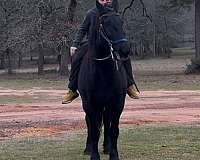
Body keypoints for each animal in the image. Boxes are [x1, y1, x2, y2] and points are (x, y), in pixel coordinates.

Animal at [78, 5, 130, 160]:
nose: (125, 50)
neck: (103, 73)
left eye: (121, 22)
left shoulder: (117, 103)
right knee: (90, 122)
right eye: (106, 24)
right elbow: (94, 129)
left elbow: (114, 129)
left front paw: (114, 154)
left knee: (106, 123)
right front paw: (94, 155)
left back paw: (107, 147)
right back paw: (88, 148)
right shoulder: (90, 104)